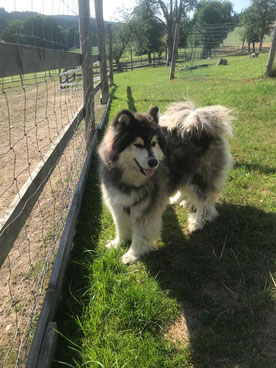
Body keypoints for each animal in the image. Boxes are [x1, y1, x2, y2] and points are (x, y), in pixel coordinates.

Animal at [97, 102, 233, 264]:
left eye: (154, 143)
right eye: (138, 144)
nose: (154, 162)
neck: (128, 179)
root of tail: (200, 127)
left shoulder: (146, 209)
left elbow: (138, 235)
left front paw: (132, 254)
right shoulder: (117, 203)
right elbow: (121, 227)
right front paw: (118, 243)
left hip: (199, 180)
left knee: (203, 203)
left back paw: (197, 222)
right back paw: (179, 200)